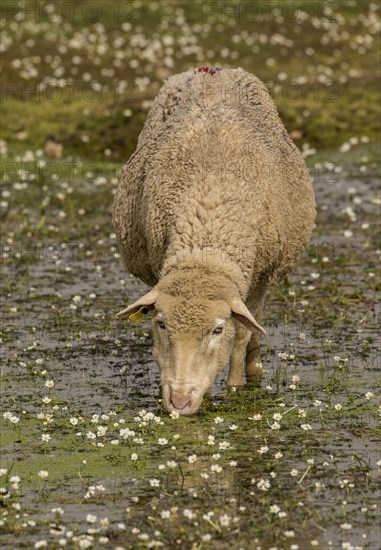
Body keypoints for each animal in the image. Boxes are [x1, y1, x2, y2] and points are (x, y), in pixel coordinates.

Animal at [113, 67, 314, 416]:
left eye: (217, 329)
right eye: (161, 324)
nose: (179, 402)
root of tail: (214, 68)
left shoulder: (256, 278)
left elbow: (243, 334)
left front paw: (234, 387)